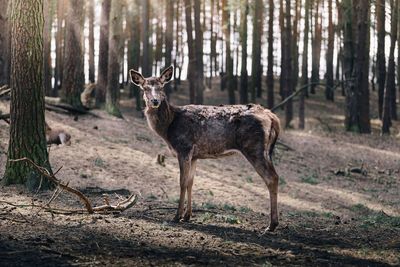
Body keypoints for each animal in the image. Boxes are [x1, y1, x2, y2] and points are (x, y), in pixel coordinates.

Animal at [130, 66, 280, 231]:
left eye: (161, 87)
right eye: (145, 88)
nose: (155, 101)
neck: (169, 126)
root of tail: (271, 116)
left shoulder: (184, 148)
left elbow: (182, 182)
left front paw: (177, 216)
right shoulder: (194, 156)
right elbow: (190, 182)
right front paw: (187, 216)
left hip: (253, 147)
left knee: (272, 178)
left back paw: (271, 225)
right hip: (265, 150)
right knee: (275, 176)